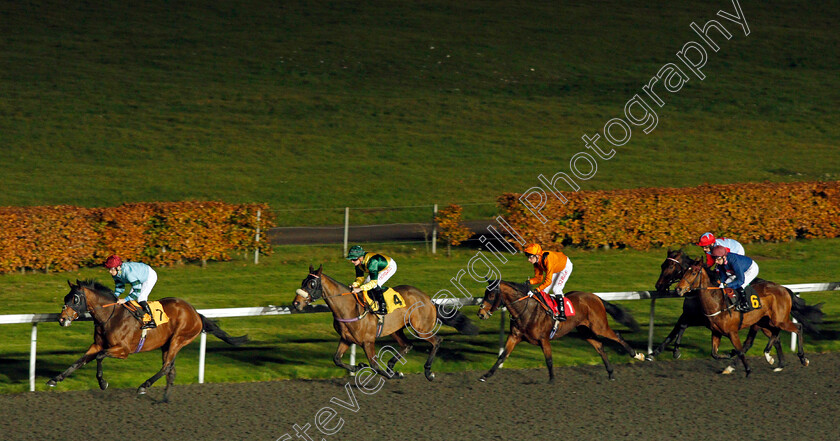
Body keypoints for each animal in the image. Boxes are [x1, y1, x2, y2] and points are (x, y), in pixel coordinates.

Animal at [49, 280, 248, 400]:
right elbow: (78, 361)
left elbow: (99, 357)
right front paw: (55, 379)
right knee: (171, 370)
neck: (110, 316)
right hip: (167, 345)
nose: (61, 319)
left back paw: (144, 386)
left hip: (179, 339)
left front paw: (103, 383)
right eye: (66, 297)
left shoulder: (123, 350)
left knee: (166, 367)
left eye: (75, 299)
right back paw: (165, 399)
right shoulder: (97, 345)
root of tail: (196, 313)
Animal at [294, 262, 480, 380]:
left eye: (312, 284)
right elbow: (337, 359)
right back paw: (392, 365)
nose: (296, 303)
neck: (348, 307)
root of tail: (428, 299)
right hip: (396, 330)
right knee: (407, 345)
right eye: (302, 282)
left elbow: (374, 365)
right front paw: (358, 367)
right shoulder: (346, 339)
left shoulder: (368, 341)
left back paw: (428, 372)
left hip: (420, 328)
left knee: (437, 341)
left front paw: (390, 374)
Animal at [476, 280, 648, 380]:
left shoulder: (544, 339)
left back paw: (637, 355)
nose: (480, 313)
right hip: (584, 330)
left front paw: (552, 381)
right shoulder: (514, 336)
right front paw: (486, 375)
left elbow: (549, 360)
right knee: (599, 346)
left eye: (491, 295)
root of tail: (596, 297)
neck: (525, 310)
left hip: (599, 326)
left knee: (617, 335)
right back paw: (611, 373)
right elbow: (502, 356)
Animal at [672, 262, 824, 376]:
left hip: (778, 320)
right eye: (683, 272)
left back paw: (802, 358)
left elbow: (740, 350)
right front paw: (729, 355)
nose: (678, 289)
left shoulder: (732, 332)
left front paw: (747, 369)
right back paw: (773, 359)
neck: (717, 302)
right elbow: (714, 353)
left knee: (798, 328)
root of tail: (784, 288)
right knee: (774, 335)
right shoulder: (716, 332)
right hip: (766, 322)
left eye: (693, 273)